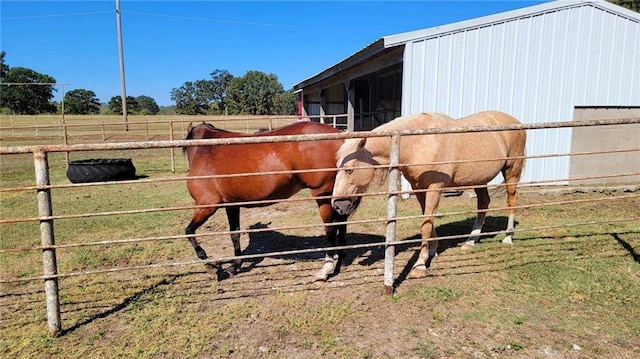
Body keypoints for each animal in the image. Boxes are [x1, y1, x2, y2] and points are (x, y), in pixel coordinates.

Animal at [182, 122, 348, 282]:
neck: (203, 148)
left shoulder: (207, 205)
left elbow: (189, 231)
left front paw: (208, 262)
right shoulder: (231, 204)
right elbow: (234, 234)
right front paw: (234, 267)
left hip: (322, 194)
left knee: (331, 228)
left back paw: (325, 269)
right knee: (341, 223)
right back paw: (340, 259)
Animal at [330, 111, 524, 280]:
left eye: (349, 170)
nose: (338, 205)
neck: (420, 142)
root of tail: (516, 122)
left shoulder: (434, 189)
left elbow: (425, 225)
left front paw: (420, 265)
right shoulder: (419, 189)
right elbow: (428, 220)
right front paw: (433, 251)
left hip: (512, 172)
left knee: (511, 201)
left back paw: (508, 238)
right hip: (479, 180)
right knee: (483, 203)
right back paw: (470, 241)